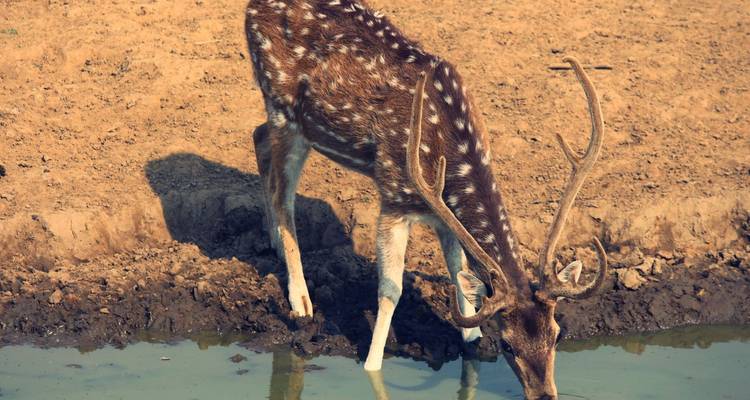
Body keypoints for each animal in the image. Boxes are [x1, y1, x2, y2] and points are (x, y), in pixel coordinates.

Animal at [244, 1, 607, 399]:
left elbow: (457, 270)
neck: (446, 141)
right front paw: (371, 365)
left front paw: (470, 337)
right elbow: (391, 289)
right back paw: (301, 299)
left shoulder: (443, 213)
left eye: (557, 334)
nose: (545, 394)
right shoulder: (394, 197)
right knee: (282, 190)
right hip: (284, 110)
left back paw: (274, 243)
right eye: (508, 344)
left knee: (258, 137)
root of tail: (251, 8)